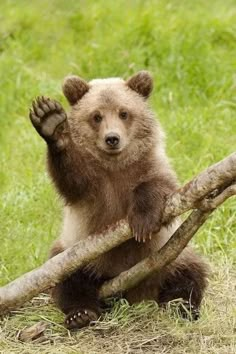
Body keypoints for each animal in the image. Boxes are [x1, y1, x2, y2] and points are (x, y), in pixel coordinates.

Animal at [29, 71, 208, 330]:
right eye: (96, 116)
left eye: (124, 113)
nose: (112, 138)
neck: (115, 166)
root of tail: (134, 292)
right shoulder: (93, 186)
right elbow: (72, 179)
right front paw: (51, 121)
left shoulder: (150, 166)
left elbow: (160, 190)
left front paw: (143, 222)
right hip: (78, 254)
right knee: (68, 278)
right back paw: (81, 314)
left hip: (170, 257)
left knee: (189, 274)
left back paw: (182, 308)